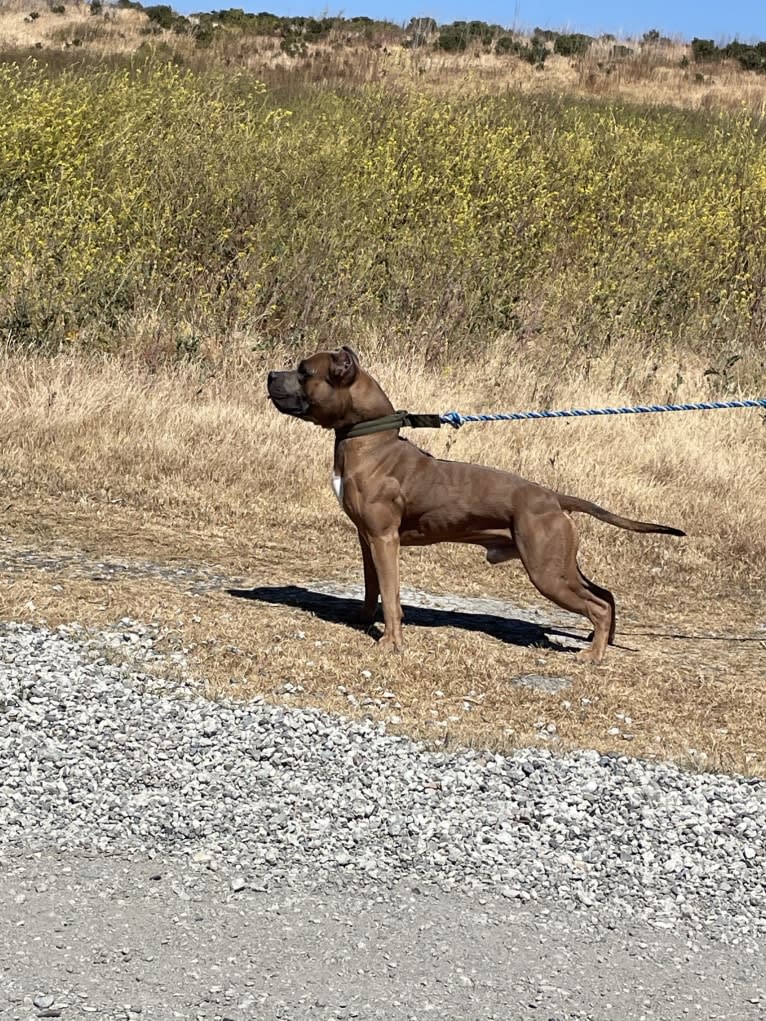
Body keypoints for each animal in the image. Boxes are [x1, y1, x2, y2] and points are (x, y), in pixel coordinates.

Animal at [267, 347, 686, 665]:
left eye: (303, 372)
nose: (270, 374)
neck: (369, 440)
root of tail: (553, 497)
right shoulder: (367, 538)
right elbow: (374, 589)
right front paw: (361, 619)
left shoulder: (385, 539)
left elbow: (391, 593)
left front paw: (390, 642)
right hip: (560, 565)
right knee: (606, 596)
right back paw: (599, 641)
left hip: (546, 572)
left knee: (598, 605)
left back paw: (592, 655)